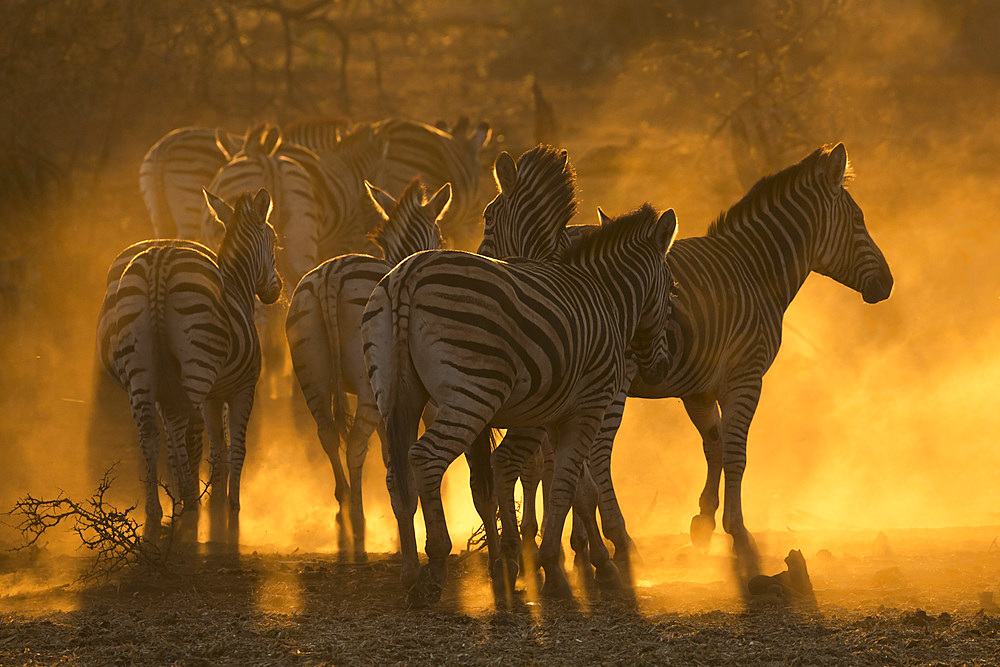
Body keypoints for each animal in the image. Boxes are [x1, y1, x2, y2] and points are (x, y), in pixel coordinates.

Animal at [108, 189, 282, 544]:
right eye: (274, 242)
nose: (277, 290)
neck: (238, 285)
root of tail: (159, 261)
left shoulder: (214, 397)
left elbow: (219, 445)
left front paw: (216, 498)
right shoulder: (243, 388)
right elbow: (236, 446)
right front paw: (233, 504)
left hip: (140, 370)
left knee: (150, 434)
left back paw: (157, 509)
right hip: (195, 368)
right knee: (177, 428)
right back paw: (187, 499)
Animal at [284, 176, 452, 560]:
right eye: (438, 235)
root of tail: (330, 277)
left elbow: (392, 452)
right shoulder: (421, 399)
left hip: (311, 374)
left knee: (328, 437)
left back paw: (344, 511)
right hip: (366, 387)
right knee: (355, 446)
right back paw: (359, 525)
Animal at [364, 205, 676, 604]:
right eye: (671, 290)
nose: (660, 369)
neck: (605, 298)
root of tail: (406, 275)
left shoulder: (558, 414)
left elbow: (579, 491)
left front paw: (591, 564)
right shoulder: (588, 407)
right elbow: (564, 487)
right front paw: (561, 569)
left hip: (395, 394)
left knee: (399, 472)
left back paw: (413, 573)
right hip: (473, 392)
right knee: (426, 457)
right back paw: (435, 568)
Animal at [480, 144, 896, 580]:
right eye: (860, 220)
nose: (887, 285)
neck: (755, 270)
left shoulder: (697, 389)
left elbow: (713, 445)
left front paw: (704, 522)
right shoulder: (746, 376)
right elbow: (736, 452)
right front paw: (737, 531)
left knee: (556, 461)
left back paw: (571, 550)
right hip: (607, 381)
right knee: (593, 457)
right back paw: (614, 544)